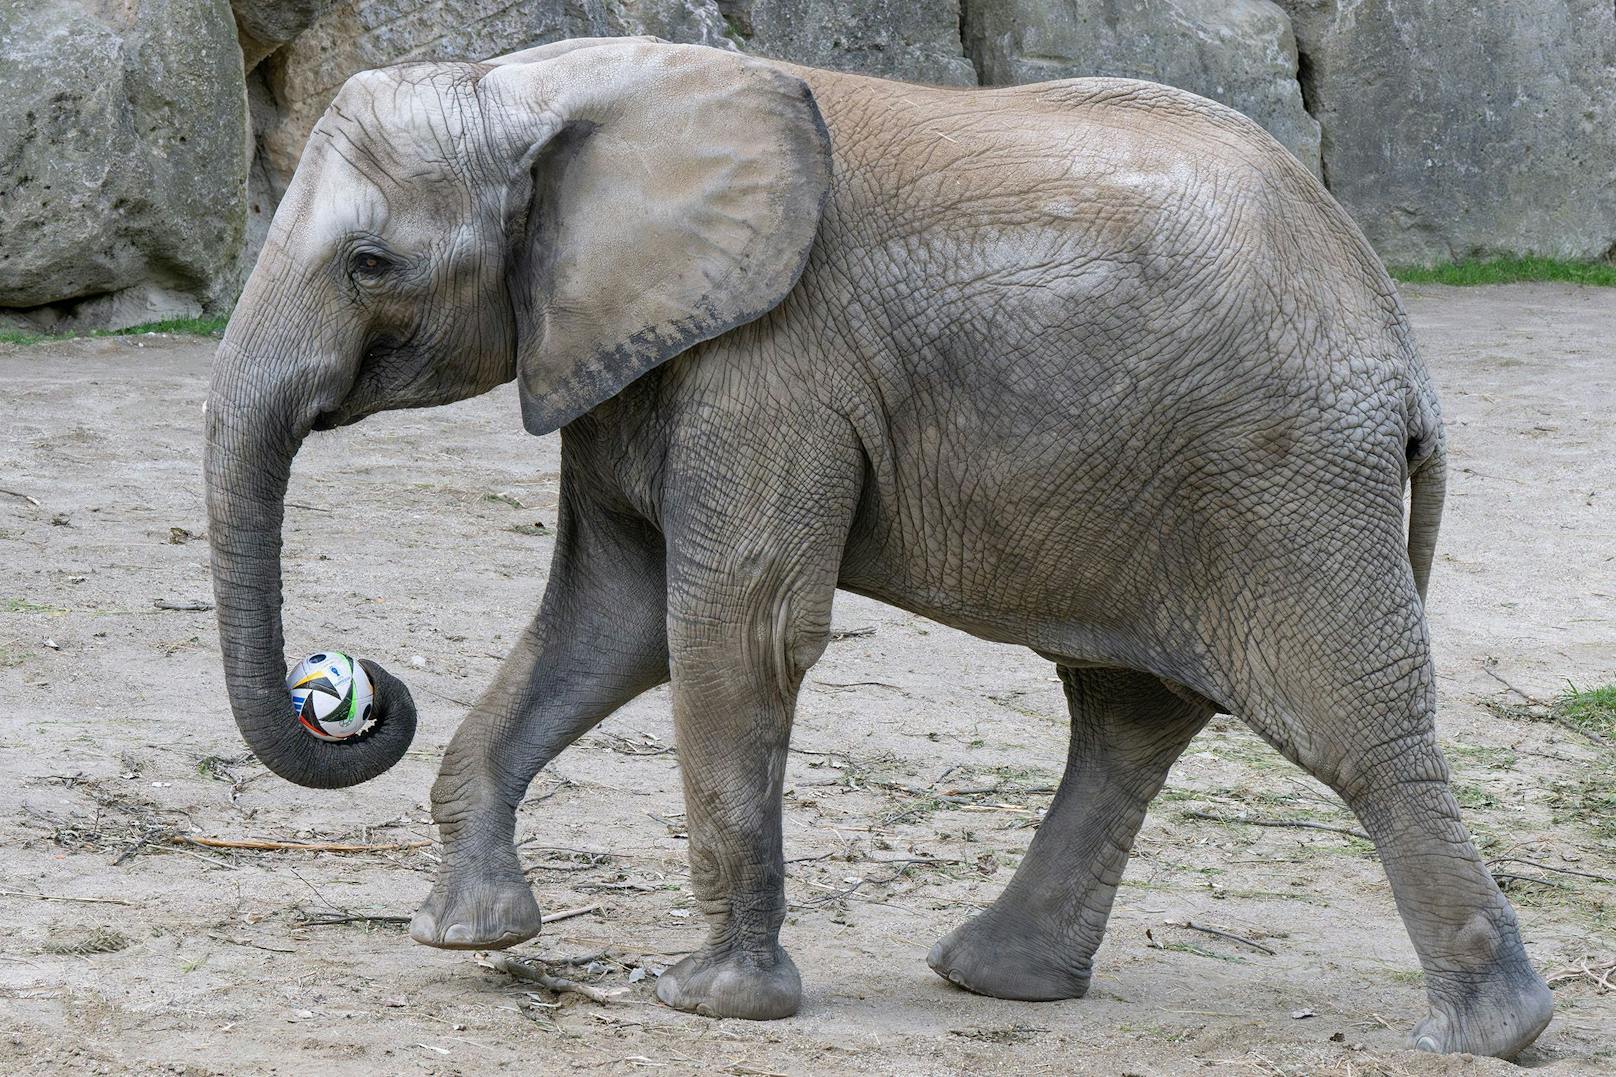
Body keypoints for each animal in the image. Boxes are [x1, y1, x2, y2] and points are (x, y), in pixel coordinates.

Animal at [202, 35, 1551, 1054]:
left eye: (370, 262)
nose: (350, 689)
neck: (552, 81)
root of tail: (1399, 346)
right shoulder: (630, 346)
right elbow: (610, 618)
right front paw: (467, 936)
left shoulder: (775, 360)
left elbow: (731, 626)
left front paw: (707, 1004)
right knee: (1127, 713)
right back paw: (992, 979)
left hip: (1286, 479)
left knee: (1353, 732)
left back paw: (1486, 1035)